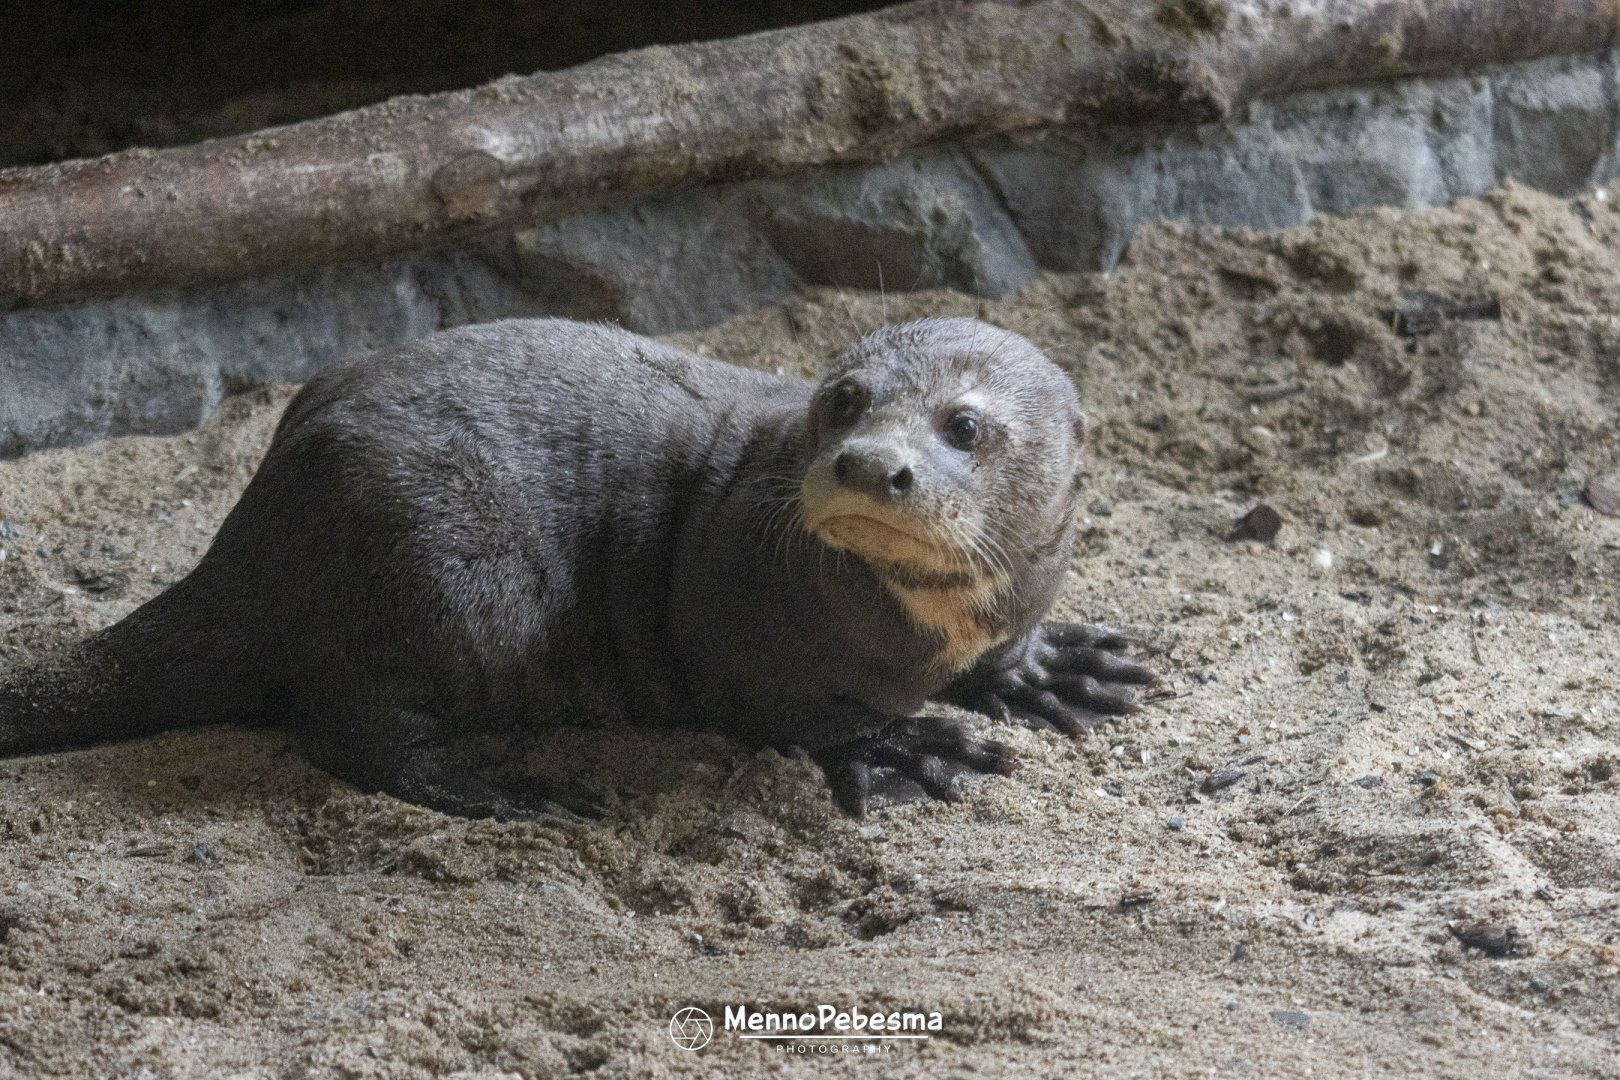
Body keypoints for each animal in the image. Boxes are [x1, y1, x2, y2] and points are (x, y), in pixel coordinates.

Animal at [0, 317, 1149, 818]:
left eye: (965, 424)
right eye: (845, 400)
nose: (871, 465)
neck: (921, 633)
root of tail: (257, 525)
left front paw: (1046, 670)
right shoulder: (739, 631)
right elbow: (795, 713)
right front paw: (904, 748)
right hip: (446, 571)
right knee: (348, 722)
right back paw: (508, 789)